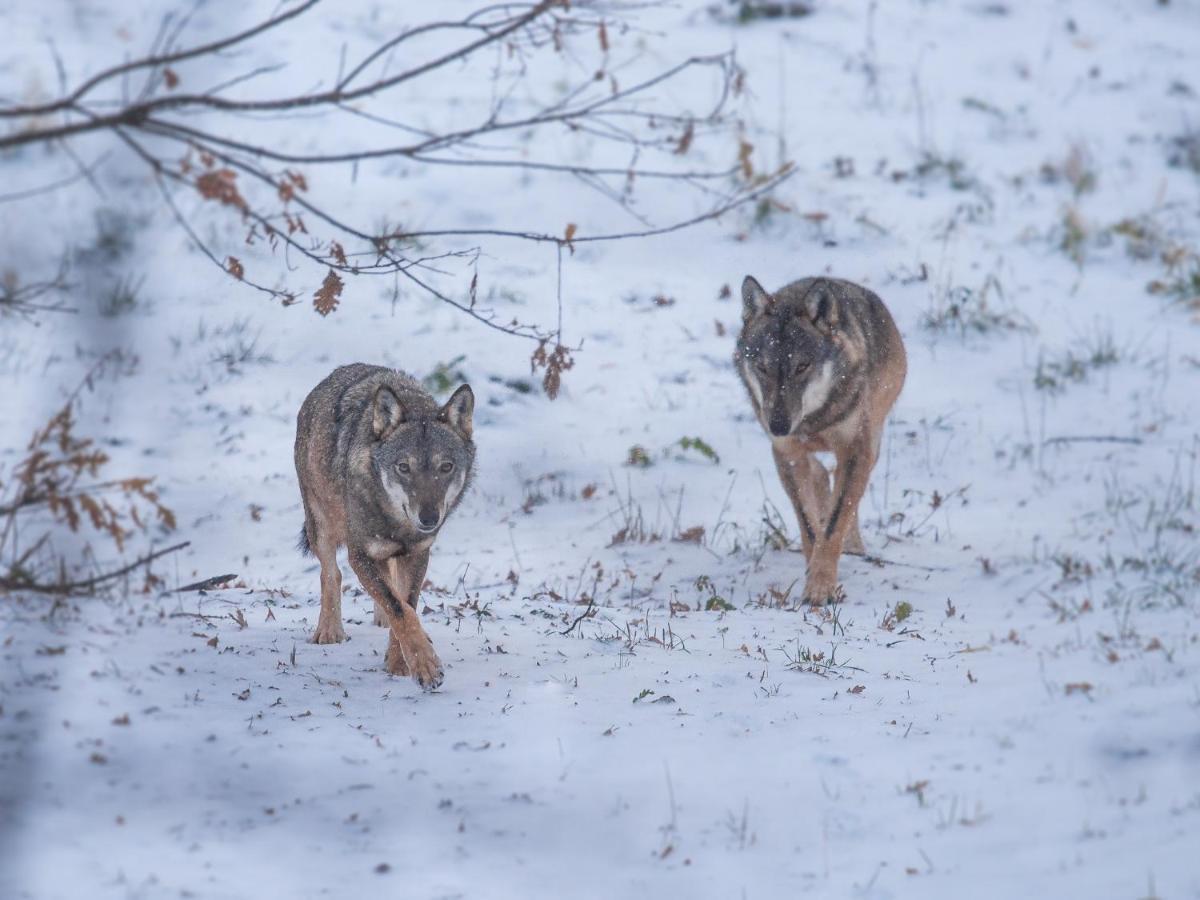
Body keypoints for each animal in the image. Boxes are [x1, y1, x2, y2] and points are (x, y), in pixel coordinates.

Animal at [292, 364, 475, 691]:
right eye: (403, 468)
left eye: (446, 467)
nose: (429, 518)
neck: (397, 523)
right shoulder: (361, 555)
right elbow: (399, 607)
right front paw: (425, 667)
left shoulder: (417, 554)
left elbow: (405, 603)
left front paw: (399, 662)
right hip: (320, 526)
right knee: (331, 574)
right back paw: (329, 631)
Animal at [729, 274, 907, 607]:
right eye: (762, 367)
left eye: (802, 366)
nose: (778, 425)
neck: (814, 420)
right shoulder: (787, 453)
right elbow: (810, 527)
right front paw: (814, 575)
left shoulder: (855, 450)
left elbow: (836, 521)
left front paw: (821, 589)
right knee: (822, 475)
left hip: (873, 442)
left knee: (842, 490)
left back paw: (854, 547)